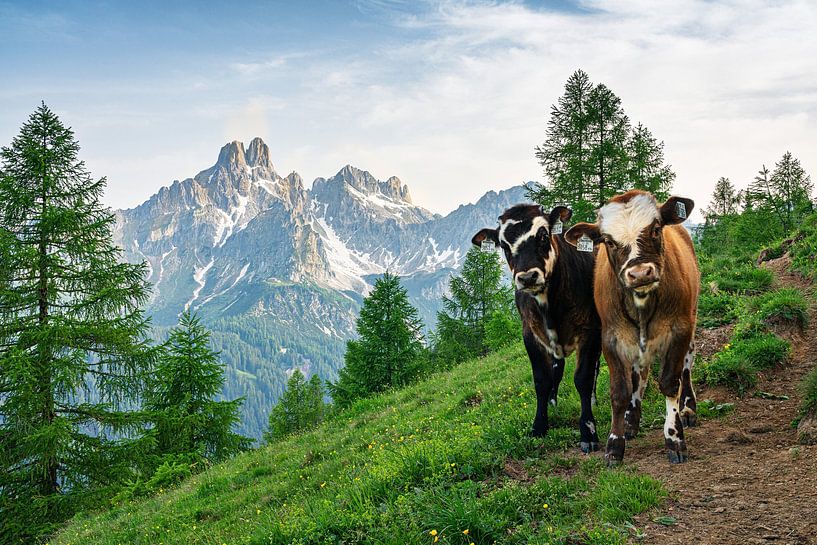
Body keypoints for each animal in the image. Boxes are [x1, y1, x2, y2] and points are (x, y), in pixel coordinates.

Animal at [472, 204, 600, 450]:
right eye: (504, 245)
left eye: (543, 235)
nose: (528, 277)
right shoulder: (530, 334)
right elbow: (542, 380)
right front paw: (539, 425)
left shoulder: (590, 329)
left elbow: (583, 378)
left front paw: (588, 431)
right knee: (557, 368)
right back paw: (553, 400)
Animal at [564, 190, 700, 464]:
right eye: (608, 241)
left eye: (656, 228)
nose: (639, 273)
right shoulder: (611, 339)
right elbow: (620, 392)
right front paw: (615, 444)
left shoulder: (680, 330)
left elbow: (670, 383)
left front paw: (674, 437)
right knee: (639, 374)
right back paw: (631, 420)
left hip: (691, 320)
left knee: (686, 368)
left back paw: (688, 408)